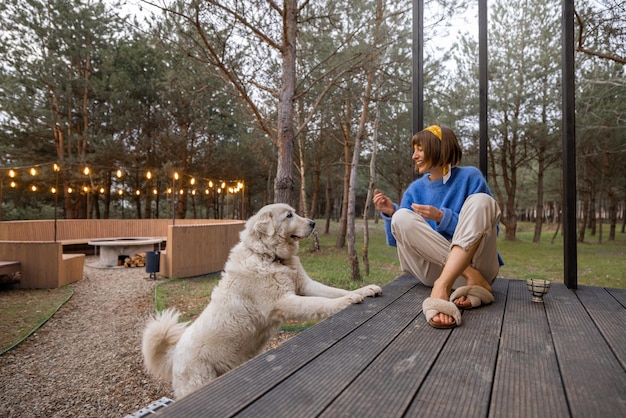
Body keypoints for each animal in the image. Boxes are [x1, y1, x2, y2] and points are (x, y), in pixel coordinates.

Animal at [141, 204, 380, 400]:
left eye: (295, 212)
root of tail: (174, 354)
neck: (269, 256)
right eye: (289, 215)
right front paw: (349, 300)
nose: (312, 223)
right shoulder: (285, 302)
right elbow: (320, 303)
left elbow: (332, 292)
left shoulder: (305, 286)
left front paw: (365, 290)